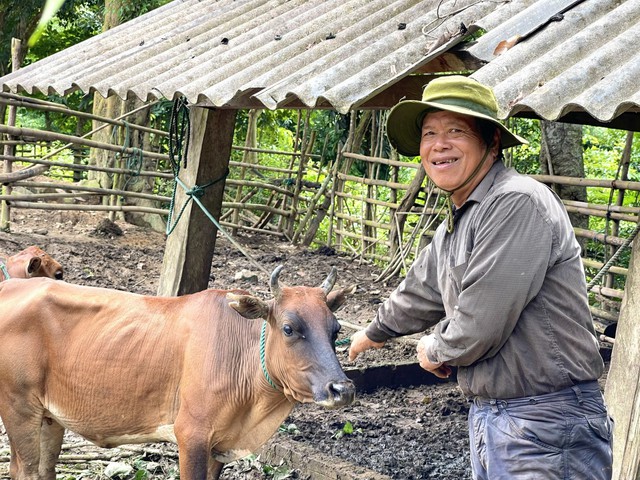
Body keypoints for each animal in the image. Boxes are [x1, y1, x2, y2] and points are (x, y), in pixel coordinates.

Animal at [0, 266, 356, 480]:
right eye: (289, 328)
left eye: (336, 329)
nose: (343, 389)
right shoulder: (191, 435)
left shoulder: (219, 446)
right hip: (19, 408)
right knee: (24, 469)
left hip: (50, 416)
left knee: (43, 469)